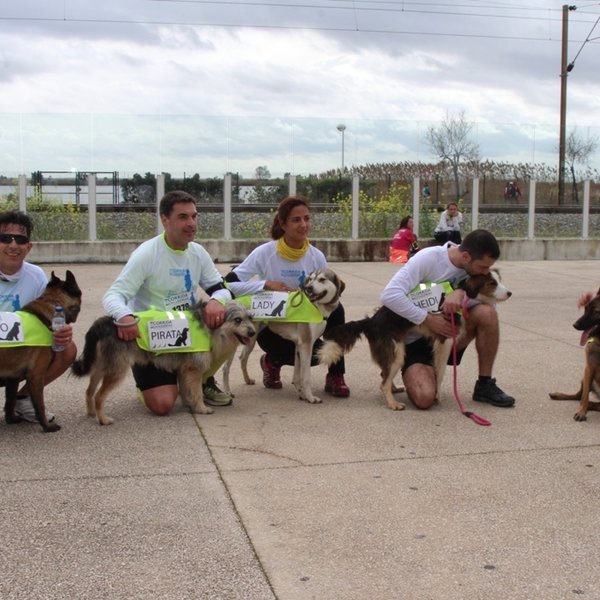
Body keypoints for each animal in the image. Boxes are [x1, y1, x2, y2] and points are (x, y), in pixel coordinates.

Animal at [1, 270, 82, 432]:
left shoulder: (12, 377)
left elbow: (10, 400)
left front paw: (11, 419)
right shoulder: (36, 375)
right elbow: (40, 405)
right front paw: (47, 426)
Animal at [72, 302, 255, 424]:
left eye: (250, 318)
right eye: (238, 320)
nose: (253, 332)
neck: (210, 327)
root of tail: (103, 323)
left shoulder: (184, 368)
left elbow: (186, 390)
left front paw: (188, 405)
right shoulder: (194, 370)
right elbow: (196, 392)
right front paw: (201, 408)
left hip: (100, 367)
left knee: (89, 391)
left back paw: (91, 413)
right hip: (116, 370)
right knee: (98, 396)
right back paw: (102, 419)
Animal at [224, 268, 346, 404]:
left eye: (322, 279)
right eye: (310, 279)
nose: (308, 288)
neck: (316, 306)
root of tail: (232, 301)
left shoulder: (299, 346)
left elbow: (297, 375)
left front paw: (302, 394)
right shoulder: (306, 344)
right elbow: (306, 376)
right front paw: (310, 397)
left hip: (250, 338)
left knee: (242, 358)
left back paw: (247, 379)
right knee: (225, 368)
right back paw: (227, 392)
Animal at [318, 274, 510, 410]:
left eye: (499, 280)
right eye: (492, 283)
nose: (509, 293)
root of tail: (371, 321)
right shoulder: (444, 340)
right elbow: (440, 374)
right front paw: (437, 396)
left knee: (383, 374)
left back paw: (394, 389)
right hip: (396, 354)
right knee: (383, 383)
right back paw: (392, 404)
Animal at [552, 288, 600, 420]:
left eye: (595, 311)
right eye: (585, 308)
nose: (575, 325)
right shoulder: (589, 368)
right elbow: (584, 397)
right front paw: (581, 412)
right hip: (585, 377)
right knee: (579, 396)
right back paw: (559, 395)